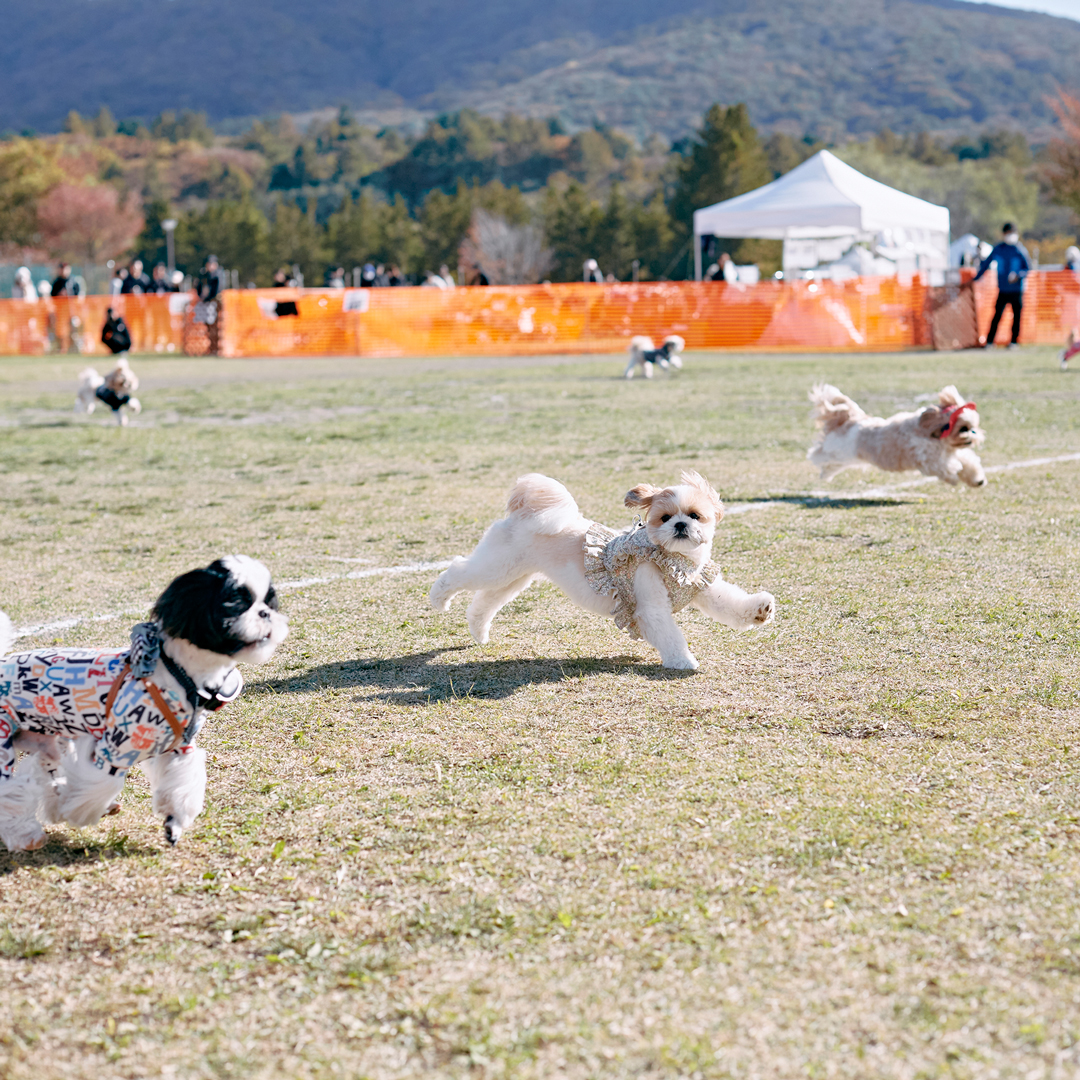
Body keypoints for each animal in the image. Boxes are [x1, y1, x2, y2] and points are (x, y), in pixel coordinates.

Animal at [425, 470, 773, 665]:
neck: (674, 560)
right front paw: (683, 662)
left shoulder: (701, 587)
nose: (679, 525)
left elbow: (730, 603)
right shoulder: (650, 606)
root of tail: (527, 512)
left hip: (513, 577)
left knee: (484, 602)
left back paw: (478, 632)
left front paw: (761, 610)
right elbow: (670, 635)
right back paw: (438, 598)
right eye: (664, 517)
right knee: (458, 571)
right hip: (498, 566)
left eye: (695, 515)